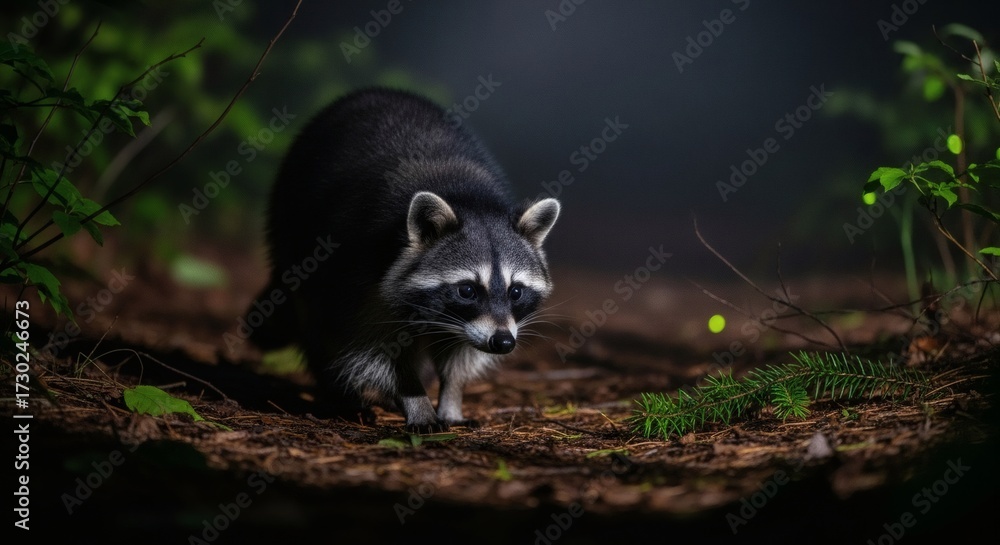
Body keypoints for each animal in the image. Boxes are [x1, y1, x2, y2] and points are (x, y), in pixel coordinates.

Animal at [252, 88, 560, 433]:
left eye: (515, 291)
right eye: (467, 290)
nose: (504, 342)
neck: (466, 196)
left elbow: (459, 355)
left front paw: (451, 397)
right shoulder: (357, 269)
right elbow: (371, 348)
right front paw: (415, 399)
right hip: (291, 227)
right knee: (318, 326)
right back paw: (339, 394)